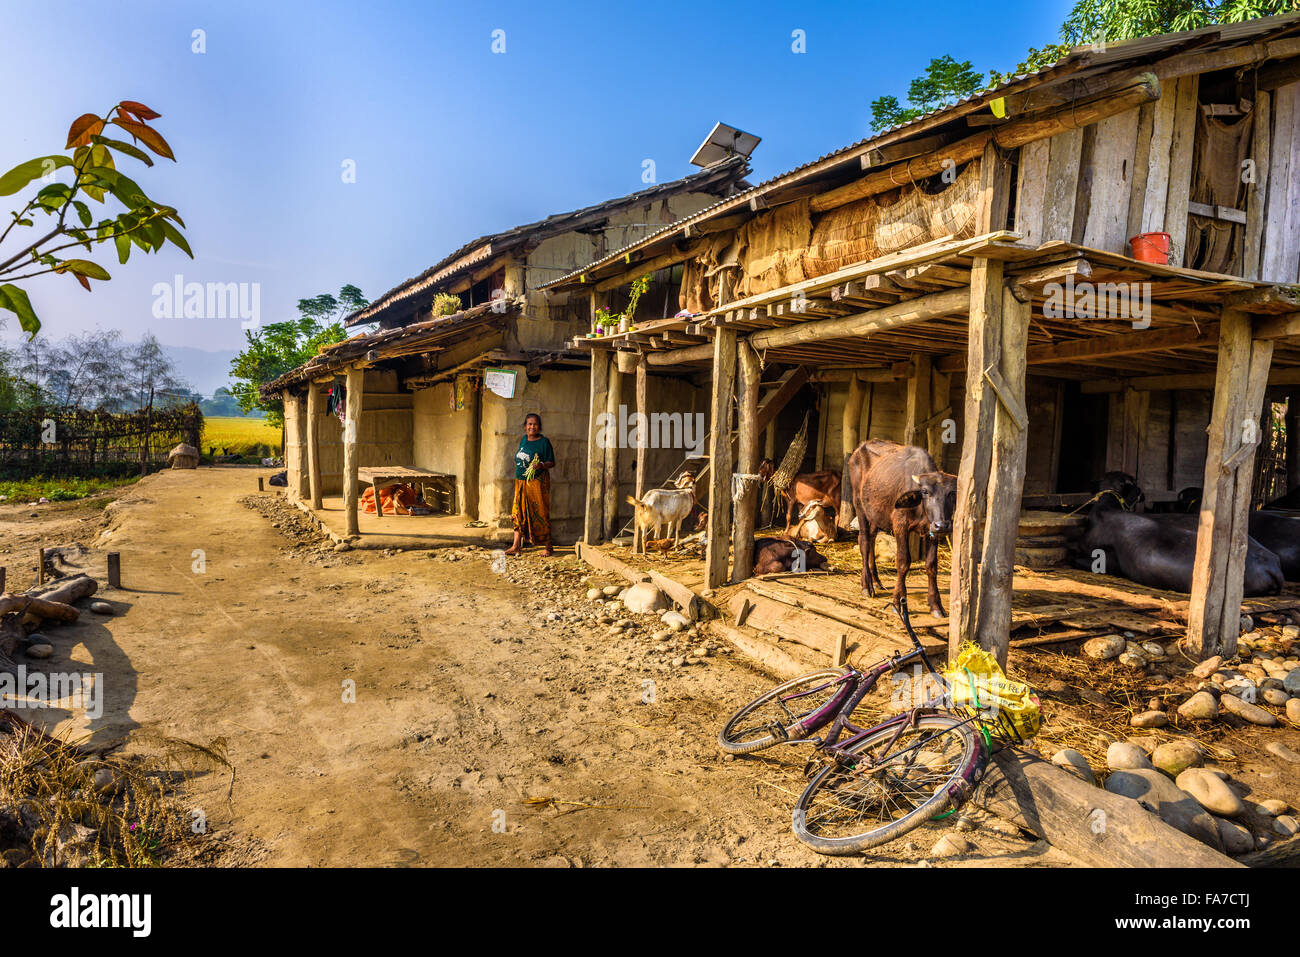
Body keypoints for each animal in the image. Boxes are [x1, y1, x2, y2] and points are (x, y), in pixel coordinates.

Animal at [842, 436, 956, 616]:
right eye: (925, 491)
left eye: (951, 493)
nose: (942, 525)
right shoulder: (900, 526)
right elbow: (903, 561)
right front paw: (898, 601)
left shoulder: (931, 532)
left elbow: (931, 565)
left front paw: (936, 605)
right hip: (858, 504)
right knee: (864, 541)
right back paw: (867, 586)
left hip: (875, 513)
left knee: (872, 539)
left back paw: (876, 581)